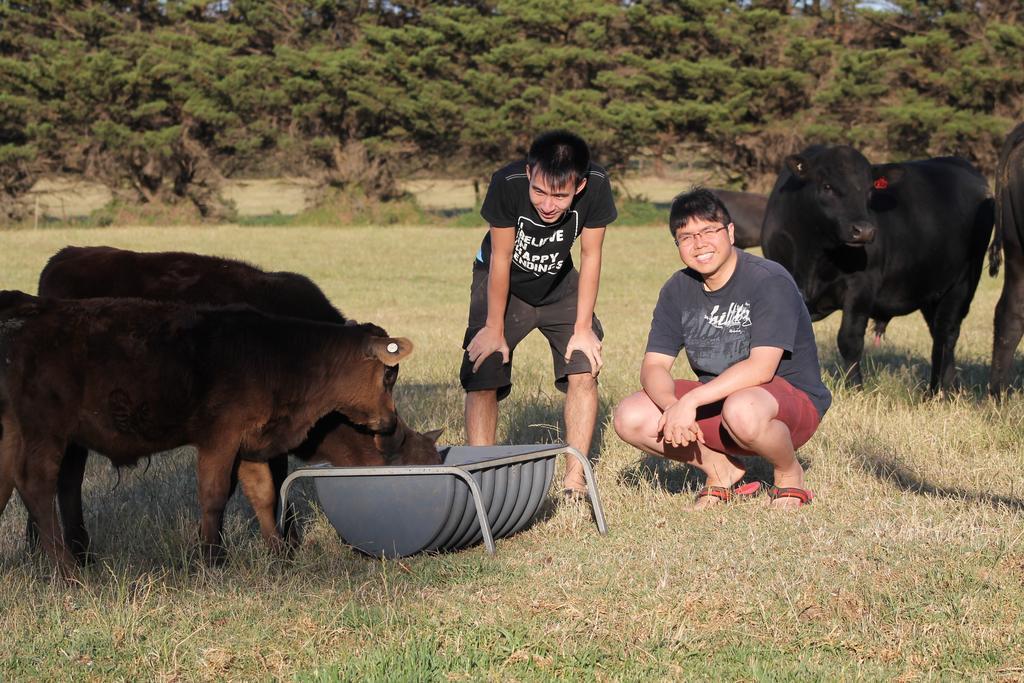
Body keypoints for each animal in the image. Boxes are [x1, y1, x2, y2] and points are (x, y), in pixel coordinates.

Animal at [770, 145, 991, 389]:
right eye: (827, 186)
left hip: (962, 283)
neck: (813, 255)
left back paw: (939, 389)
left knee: (946, 336)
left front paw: (855, 387)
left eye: (869, 190)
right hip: (932, 291)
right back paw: (946, 389)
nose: (864, 230)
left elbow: (849, 339)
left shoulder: (862, 285)